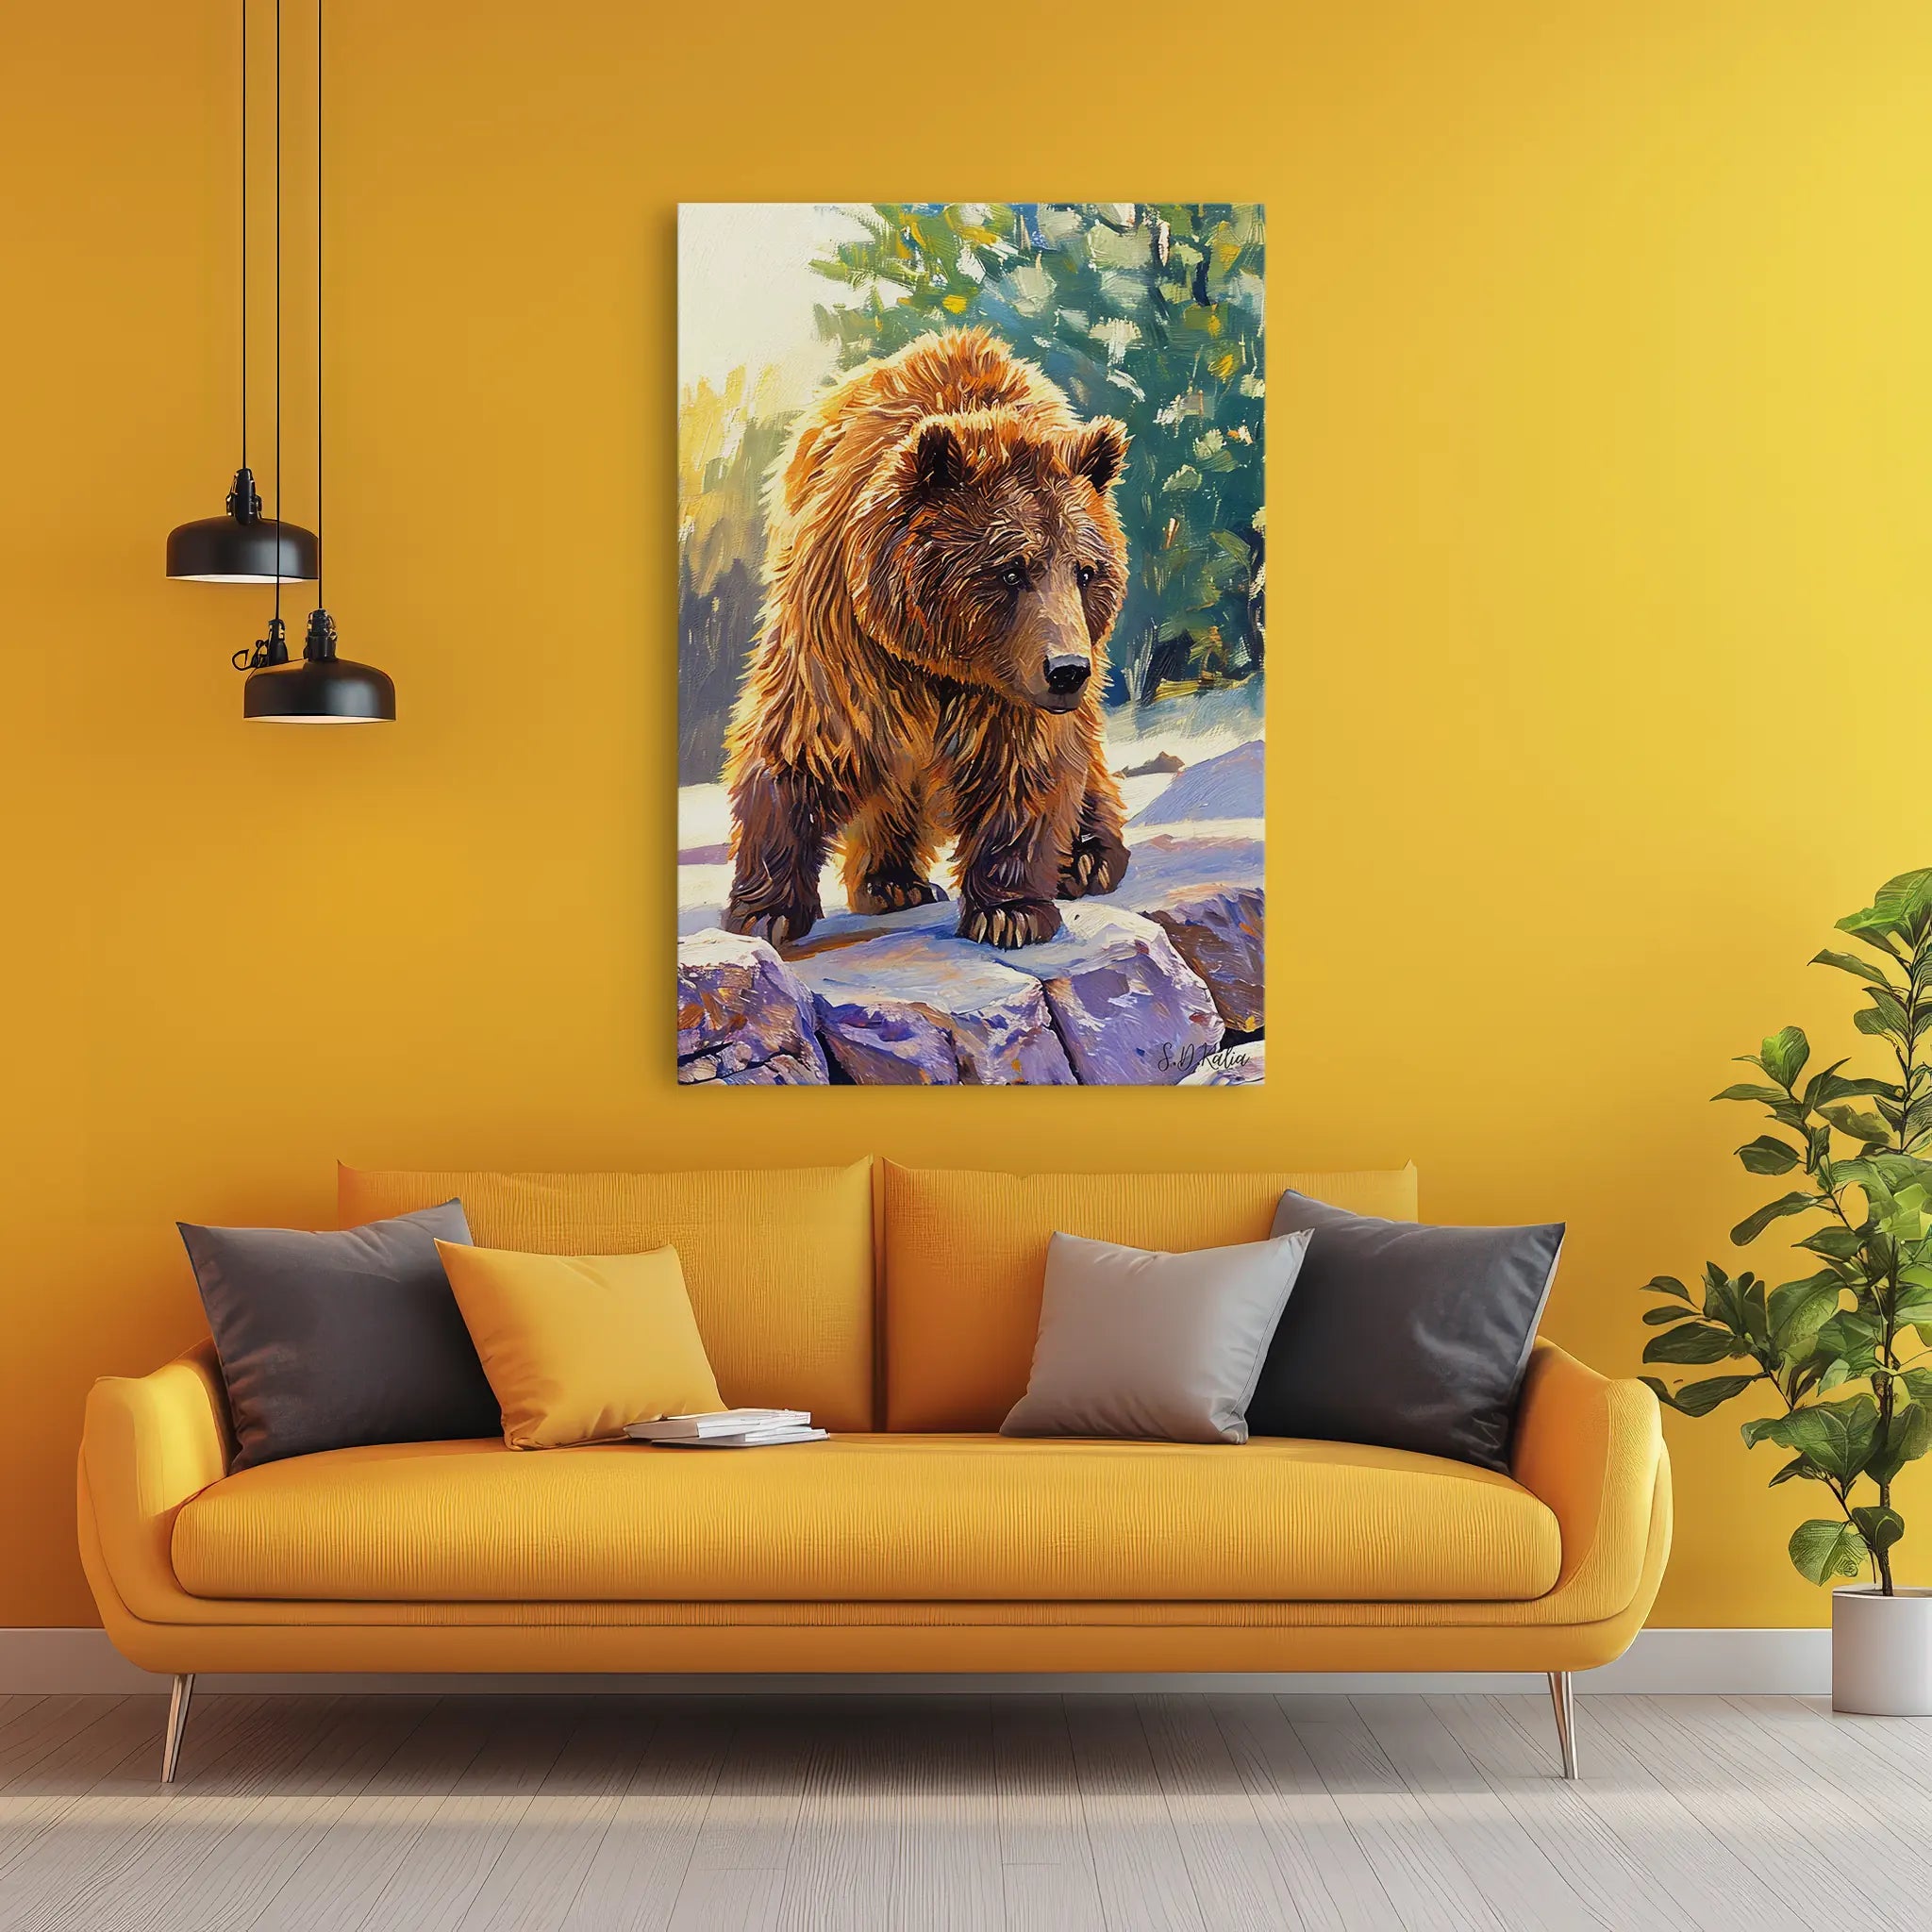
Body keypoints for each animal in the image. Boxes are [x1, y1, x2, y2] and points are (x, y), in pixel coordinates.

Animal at [720, 327, 1133, 950]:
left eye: (1085, 571)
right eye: (1010, 570)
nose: (1067, 670)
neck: (941, 657)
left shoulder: (1011, 683)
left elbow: (1024, 762)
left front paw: (1009, 911)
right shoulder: (844, 639)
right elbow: (802, 742)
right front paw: (765, 910)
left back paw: (1088, 857)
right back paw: (892, 882)